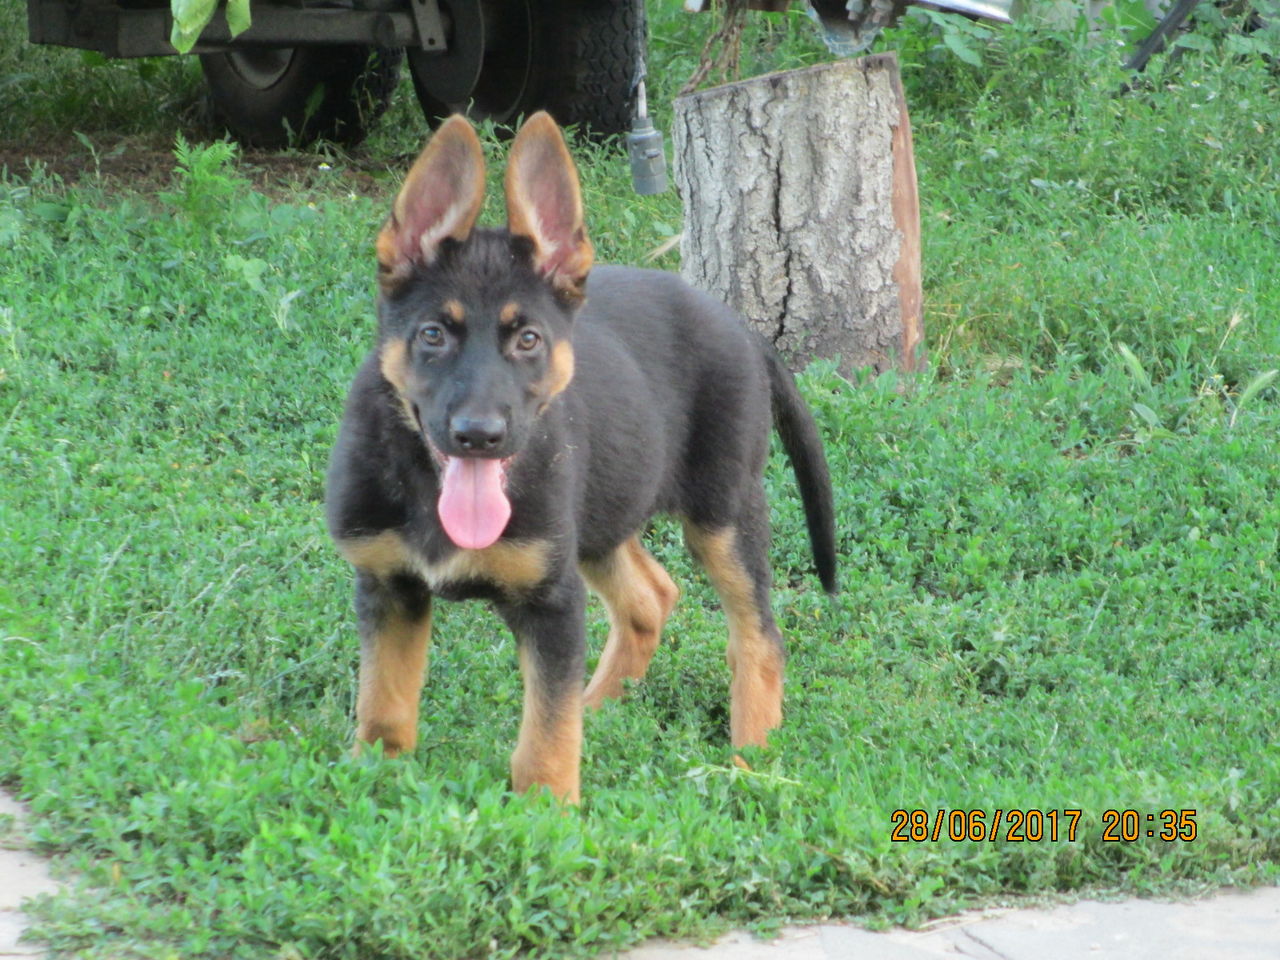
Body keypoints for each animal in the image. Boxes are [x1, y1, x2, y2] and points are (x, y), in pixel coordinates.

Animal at [325, 112, 834, 803]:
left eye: (528, 340)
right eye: (432, 335)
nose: (479, 435)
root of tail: (745, 330)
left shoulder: (551, 600)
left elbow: (545, 730)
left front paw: (547, 813)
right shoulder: (387, 586)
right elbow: (384, 706)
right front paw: (371, 785)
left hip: (722, 514)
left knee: (758, 637)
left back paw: (752, 760)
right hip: (601, 514)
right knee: (651, 599)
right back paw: (602, 708)